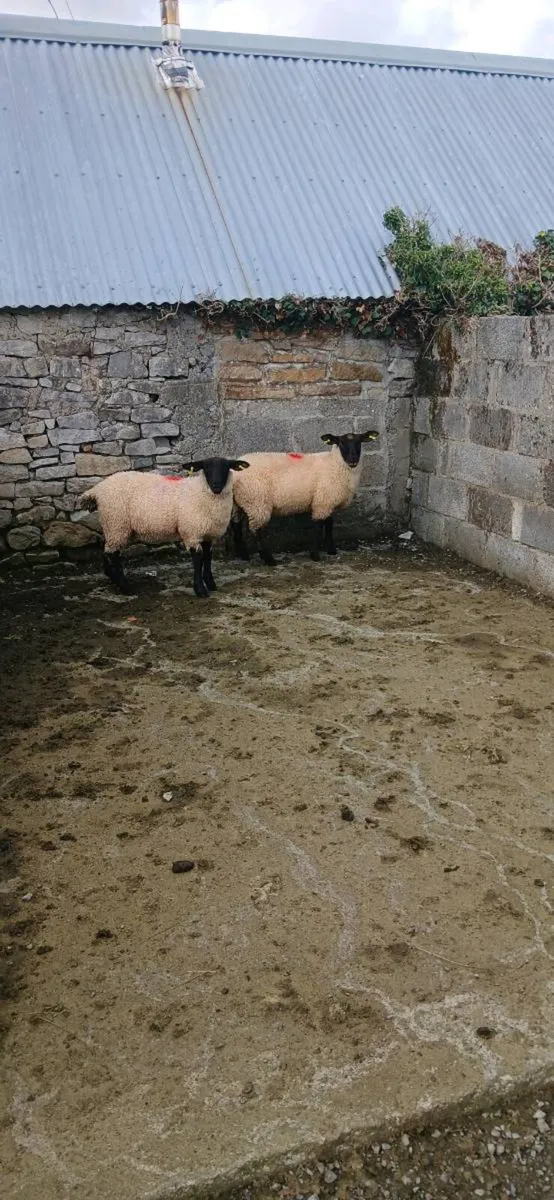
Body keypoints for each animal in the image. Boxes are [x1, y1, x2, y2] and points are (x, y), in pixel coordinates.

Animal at [81, 457, 249, 596]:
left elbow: (208, 557)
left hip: (112, 526)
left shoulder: (208, 533)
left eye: (226, 467)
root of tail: (97, 489)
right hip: (117, 523)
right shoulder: (192, 531)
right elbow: (198, 559)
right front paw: (200, 589)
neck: (201, 493)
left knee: (107, 550)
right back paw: (125, 588)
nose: (216, 486)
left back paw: (113, 580)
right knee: (113, 554)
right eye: (206, 467)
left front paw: (211, 584)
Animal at [231, 430, 379, 565]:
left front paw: (331, 550)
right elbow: (319, 527)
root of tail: (234, 473)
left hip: (239, 503)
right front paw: (315, 555)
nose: (353, 459)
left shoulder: (328, 500)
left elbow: (329, 525)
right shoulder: (322, 501)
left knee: (236, 525)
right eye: (341, 443)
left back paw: (243, 555)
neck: (334, 463)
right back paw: (268, 559)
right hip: (257, 501)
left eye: (360, 442)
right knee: (257, 530)